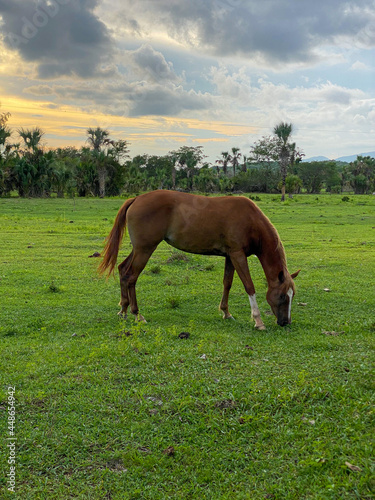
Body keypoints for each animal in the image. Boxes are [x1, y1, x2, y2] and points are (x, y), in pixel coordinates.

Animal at [98, 190, 302, 328]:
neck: (251, 220)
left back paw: (123, 309)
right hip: (144, 250)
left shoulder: (230, 256)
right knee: (131, 277)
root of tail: (136, 199)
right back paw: (136, 313)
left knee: (123, 271)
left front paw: (226, 312)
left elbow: (227, 283)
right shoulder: (238, 255)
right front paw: (258, 320)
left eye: (293, 295)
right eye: (282, 296)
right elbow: (249, 286)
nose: (285, 322)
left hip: (139, 249)